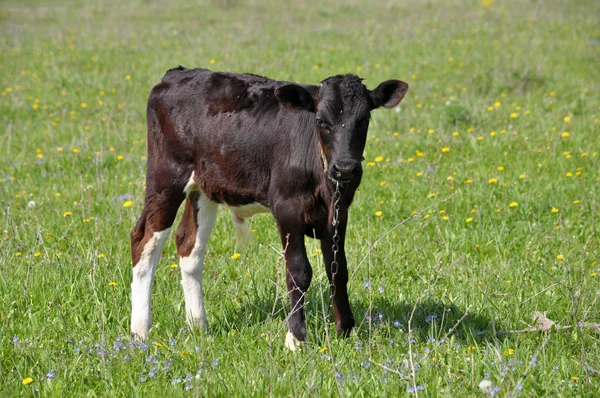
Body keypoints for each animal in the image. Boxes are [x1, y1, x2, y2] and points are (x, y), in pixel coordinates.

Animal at [131, 67, 408, 350]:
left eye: (364, 119)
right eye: (321, 121)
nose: (345, 168)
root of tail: (178, 73)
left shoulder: (339, 212)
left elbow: (338, 269)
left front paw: (345, 331)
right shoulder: (286, 207)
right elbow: (298, 272)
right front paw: (296, 338)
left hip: (204, 186)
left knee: (189, 245)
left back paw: (198, 325)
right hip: (166, 177)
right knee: (144, 241)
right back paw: (140, 330)